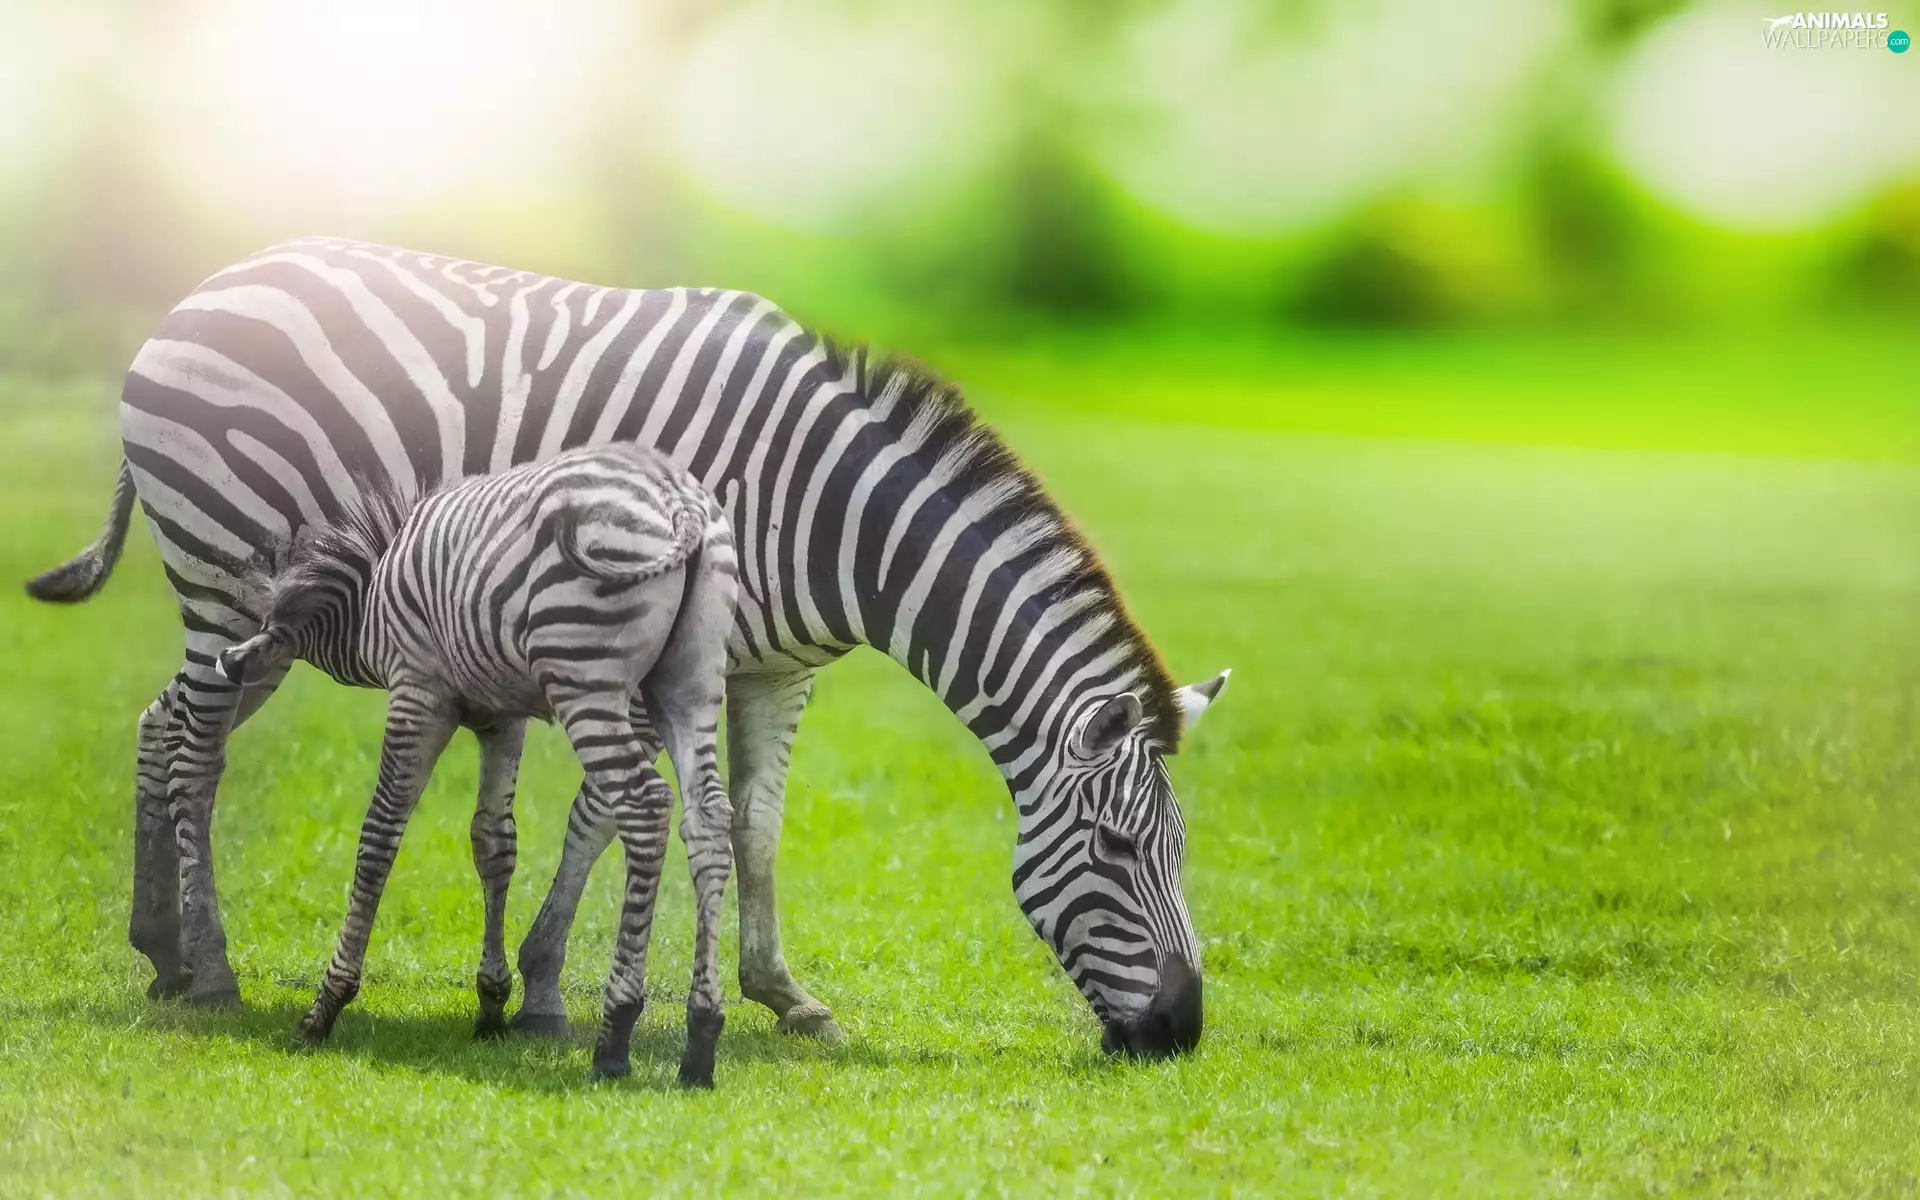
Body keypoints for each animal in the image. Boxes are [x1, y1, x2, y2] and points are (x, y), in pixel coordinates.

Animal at [214, 444, 739, 1085]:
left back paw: (616, 1035)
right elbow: (494, 841)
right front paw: (490, 1003)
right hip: (690, 681)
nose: (229, 662)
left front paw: (326, 1005)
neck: (373, 594)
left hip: (585, 676)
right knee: (708, 817)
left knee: (645, 806)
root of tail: (676, 496)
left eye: (266, 623)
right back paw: (701, 1040)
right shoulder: (501, 718)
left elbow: (379, 836)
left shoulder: (418, 691)